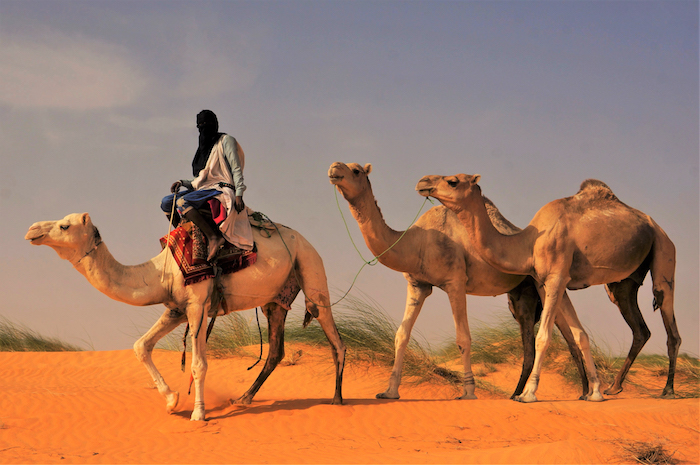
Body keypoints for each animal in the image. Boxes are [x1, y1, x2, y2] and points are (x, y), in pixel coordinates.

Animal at [25, 212, 348, 418]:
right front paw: (171, 401)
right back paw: (243, 398)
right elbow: (141, 345)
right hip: (276, 300)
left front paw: (198, 414)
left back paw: (337, 398)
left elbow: (198, 365)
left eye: (64, 226)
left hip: (311, 268)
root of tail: (305, 241)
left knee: (335, 337)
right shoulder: (176, 308)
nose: (31, 230)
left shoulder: (197, 305)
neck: (162, 271)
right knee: (276, 349)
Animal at [328, 160, 592, 398]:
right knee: (531, 341)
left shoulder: (455, 282)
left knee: (567, 336)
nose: (333, 168)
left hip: (545, 281)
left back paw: (582, 392)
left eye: (356, 170)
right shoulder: (417, 285)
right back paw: (519, 394)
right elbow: (401, 335)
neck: (417, 242)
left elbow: (463, 338)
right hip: (521, 295)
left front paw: (468, 392)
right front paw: (389, 392)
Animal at [418, 174, 680, 402]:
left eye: (452, 181)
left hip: (664, 250)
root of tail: (656, 225)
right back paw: (614, 387)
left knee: (669, 317)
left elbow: (543, 337)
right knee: (639, 326)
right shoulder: (548, 281)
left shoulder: (556, 277)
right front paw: (594, 392)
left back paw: (668, 390)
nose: (423, 182)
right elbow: (579, 334)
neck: (527, 244)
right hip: (622, 283)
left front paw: (528, 394)